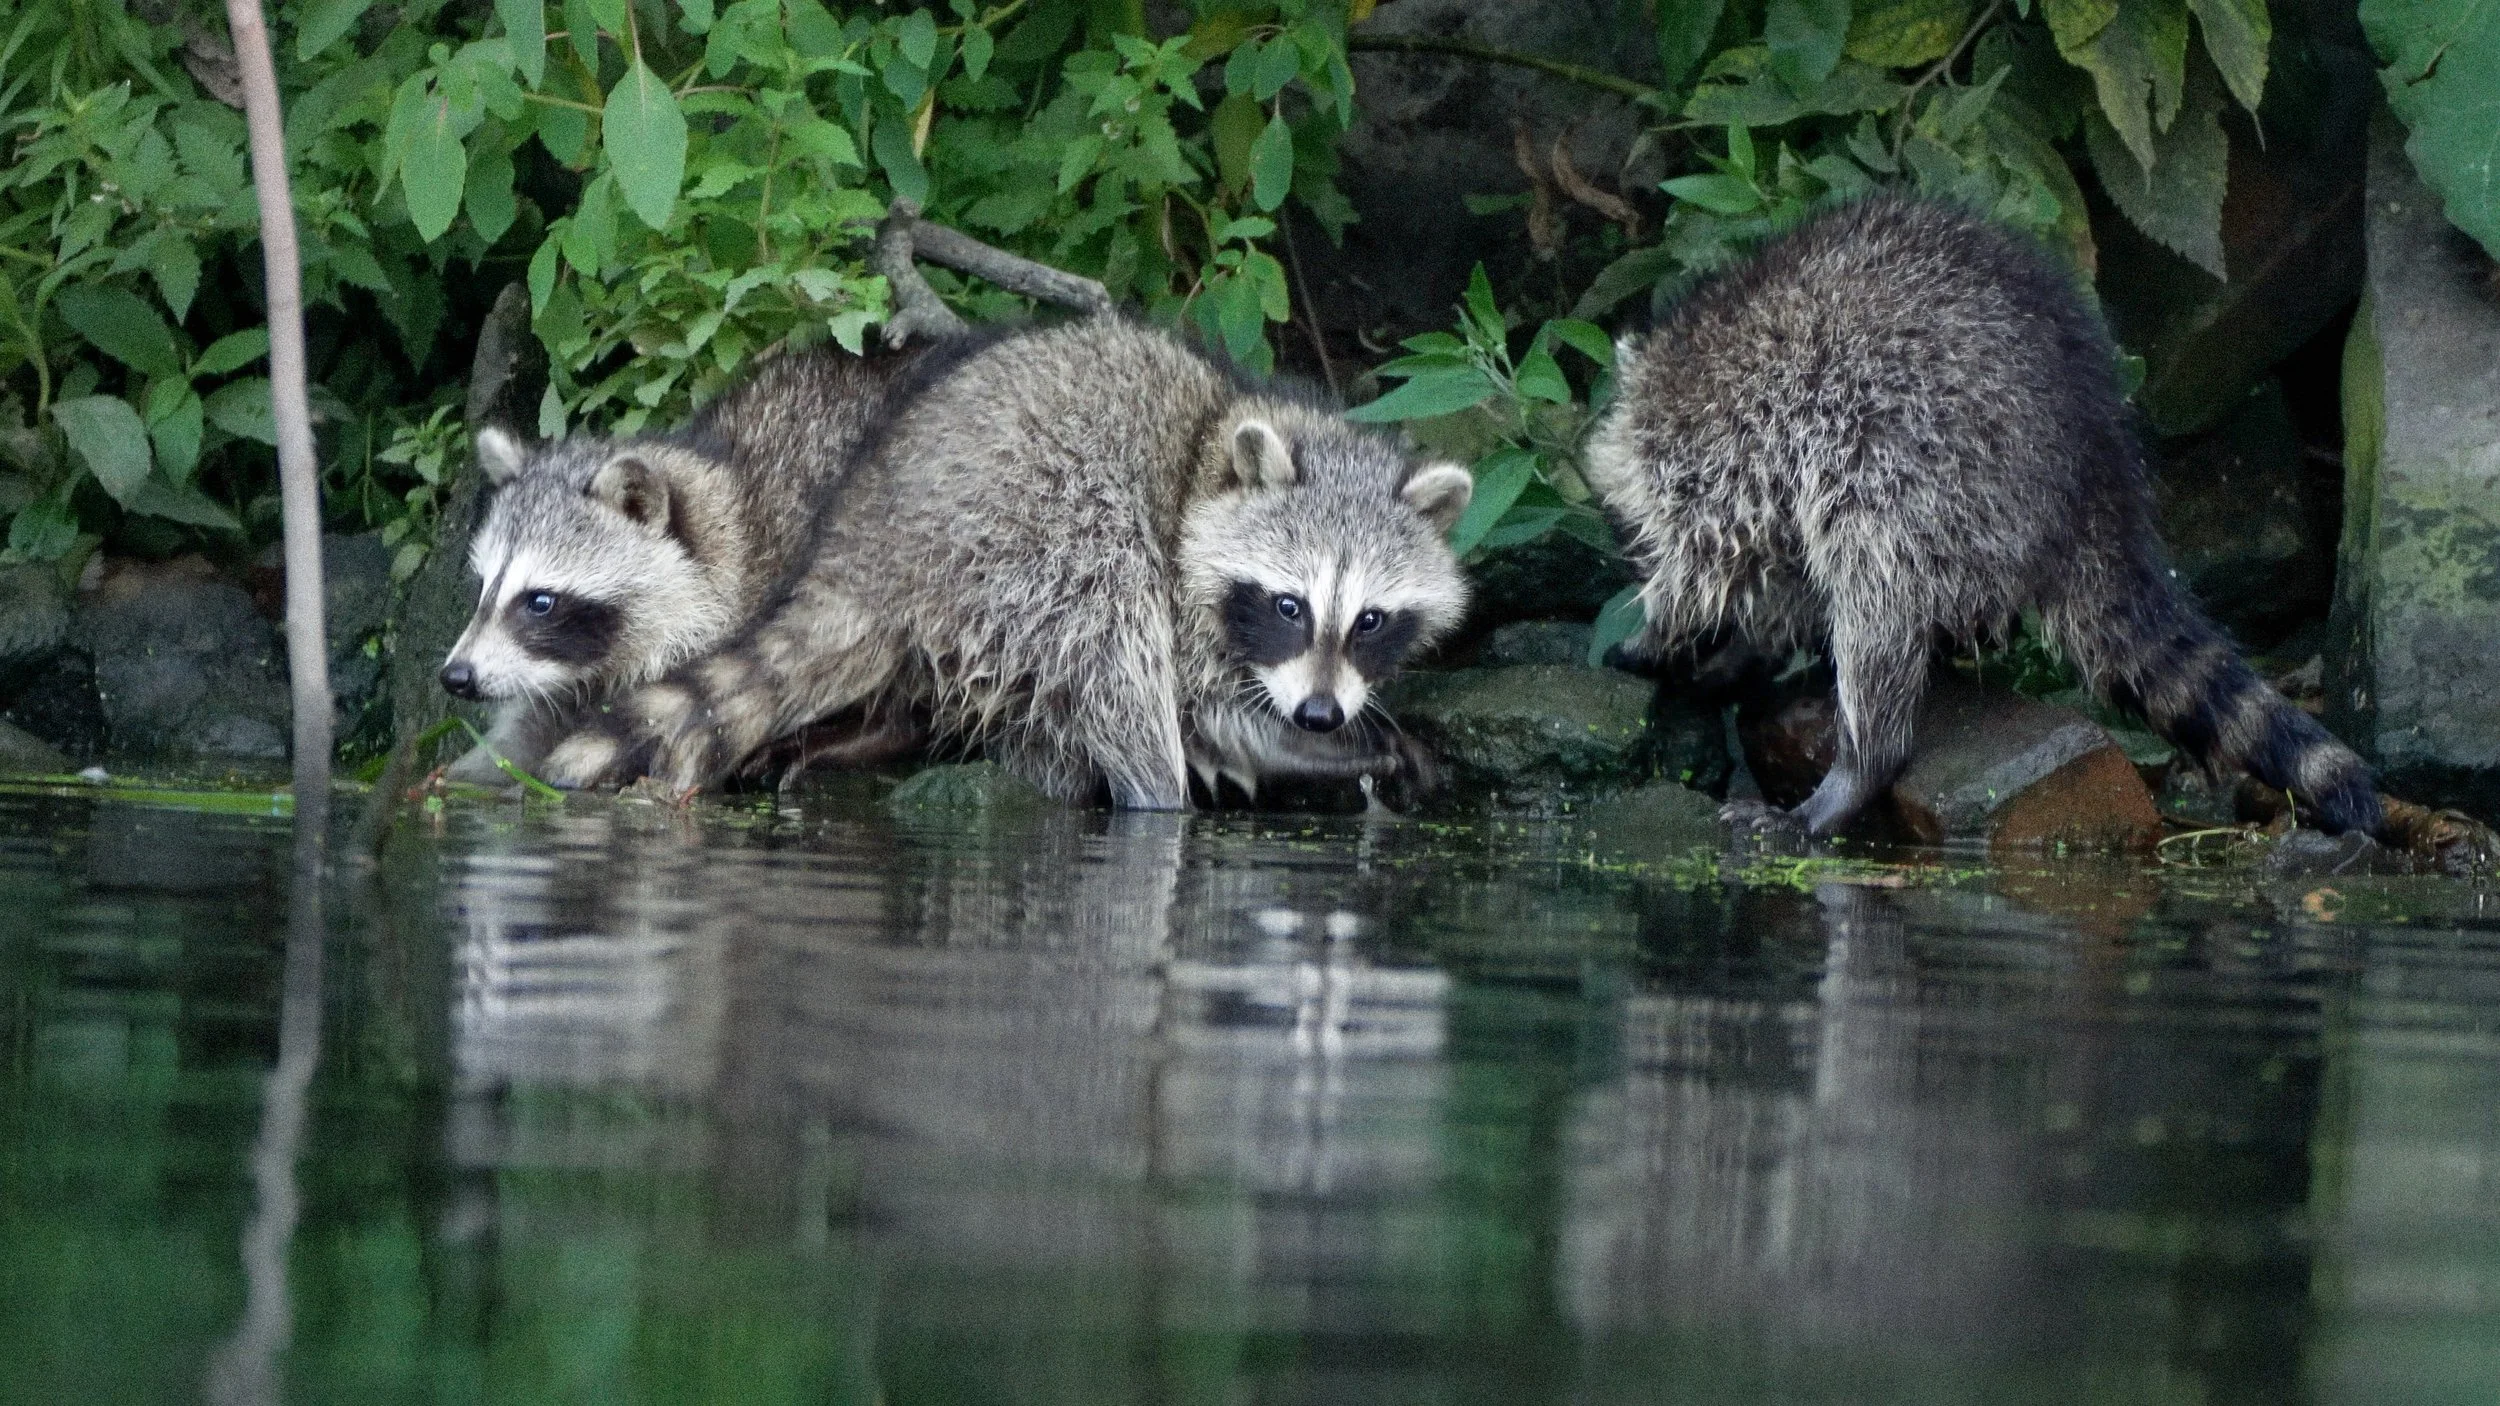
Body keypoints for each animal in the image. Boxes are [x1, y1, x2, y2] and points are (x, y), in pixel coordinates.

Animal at [535, 317, 1475, 807]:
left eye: (1371, 621)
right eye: (1289, 606)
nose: (1318, 715)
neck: (1214, 439)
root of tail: (868, 542)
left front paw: (1360, 737)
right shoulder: (1184, 582)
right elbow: (1205, 707)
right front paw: (1306, 751)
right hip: (1034, 535)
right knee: (1115, 641)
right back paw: (1157, 794)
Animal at [1584, 195, 2382, 839]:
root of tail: (2092, 473)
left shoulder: (1727, 461)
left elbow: (1711, 567)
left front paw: (1662, 632)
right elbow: (1774, 583)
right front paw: (1735, 650)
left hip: (1920, 466)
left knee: (1873, 600)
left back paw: (1856, 769)